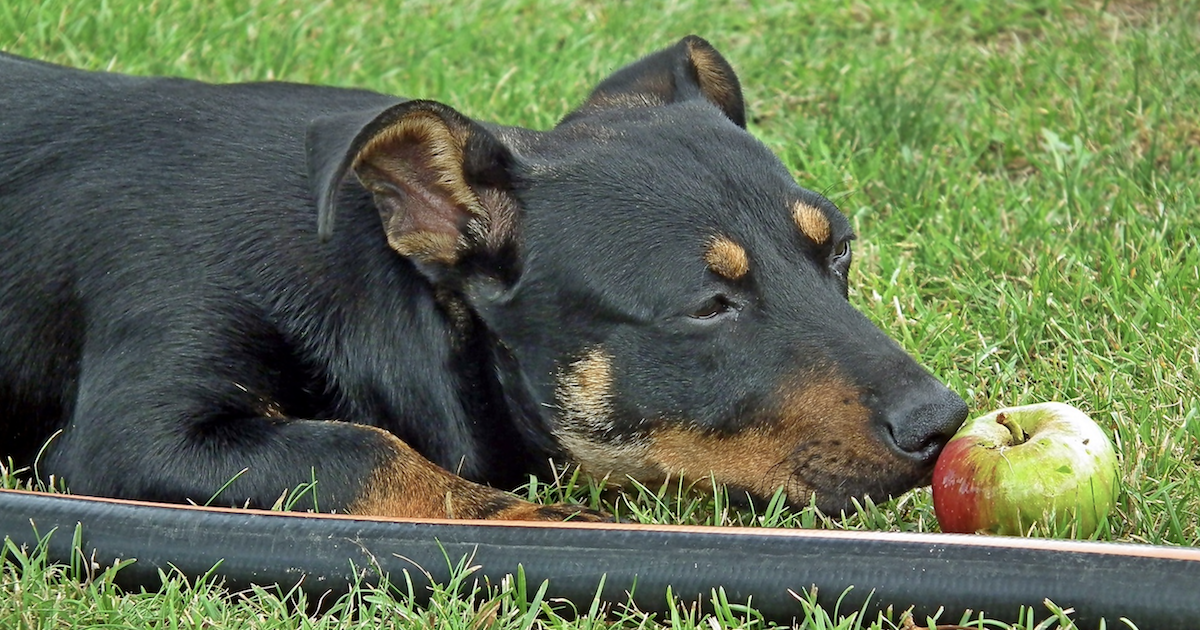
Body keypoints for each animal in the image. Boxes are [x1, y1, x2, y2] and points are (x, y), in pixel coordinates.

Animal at [0, 35, 964, 520]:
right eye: (710, 306)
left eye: (839, 252)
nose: (943, 423)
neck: (380, 286)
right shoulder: (133, 433)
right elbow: (371, 453)